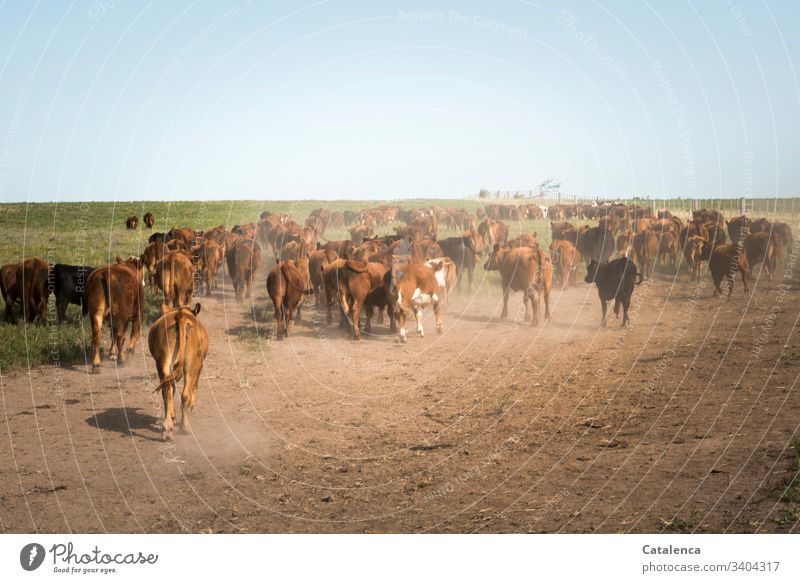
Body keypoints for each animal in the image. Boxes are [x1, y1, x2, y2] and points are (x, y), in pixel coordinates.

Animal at [148, 304, 208, 440]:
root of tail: (181, 315)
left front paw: (173, 416)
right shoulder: (200, 365)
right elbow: (194, 387)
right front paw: (191, 407)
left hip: (163, 362)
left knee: (167, 390)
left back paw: (167, 429)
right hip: (192, 365)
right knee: (185, 393)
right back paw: (184, 427)